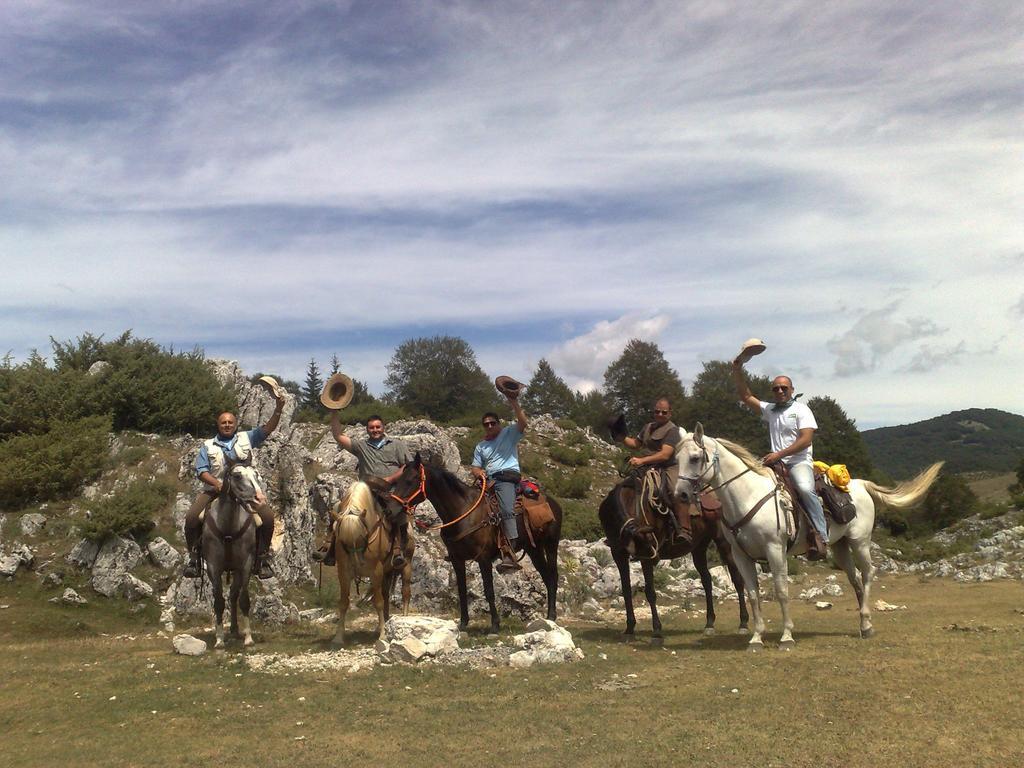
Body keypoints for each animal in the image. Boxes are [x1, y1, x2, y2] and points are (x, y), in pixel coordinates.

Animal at [201, 462, 262, 651]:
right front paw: (219, 639)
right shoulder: (213, 566)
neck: (228, 526)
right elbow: (218, 602)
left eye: (256, 474)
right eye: (237, 476)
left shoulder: (246, 564)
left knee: (234, 595)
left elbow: (244, 599)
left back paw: (235, 629)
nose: (259, 499)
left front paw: (249, 638)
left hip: (237, 570)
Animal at [331, 483, 411, 647]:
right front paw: (338, 637)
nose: (358, 564)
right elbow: (343, 603)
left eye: (362, 537)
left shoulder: (376, 571)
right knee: (386, 594)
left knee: (405, 593)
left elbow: (378, 602)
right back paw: (384, 624)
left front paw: (383, 636)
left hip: (405, 566)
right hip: (388, 572)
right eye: (343, 541)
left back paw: (403, 620)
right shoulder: (343, 572)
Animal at [389, 454, 565, 634]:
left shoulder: (484, 558)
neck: (462, 511)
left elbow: (489, 591)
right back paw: (548, 617)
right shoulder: (457, 560)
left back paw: (551, 616)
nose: (391, 509)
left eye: (411, 480)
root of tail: (552, 502)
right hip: (533, 549)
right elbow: (462, 590)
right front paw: (463, 623)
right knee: (546, 576)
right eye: (398, 479)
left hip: (551, 544)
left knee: (553, 575)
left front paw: (495, 624)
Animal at [598, 475, 749, 643]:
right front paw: (629, 629)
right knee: (707, 581)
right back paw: (709, 624)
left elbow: (650, 592)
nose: (656, 557)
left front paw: (657, 632)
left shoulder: (645, 558)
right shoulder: (619, 554)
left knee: (737, 580)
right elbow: (625, 590)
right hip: (698, 547)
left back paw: (743, 623)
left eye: (649, 542)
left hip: (724, 543)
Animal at [675, 428, 937, 651]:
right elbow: (753, 595)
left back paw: (867, 622)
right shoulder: (741, 556)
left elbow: (781, 591)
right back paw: (864, 625)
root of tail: (861, 484)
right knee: (854, 579)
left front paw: (786, 637)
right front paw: (756, 638)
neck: (748, 496)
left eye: (696, 458)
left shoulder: (775, 550)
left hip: (860, 542)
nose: (681, 494)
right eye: (676, 458)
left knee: (867, 573)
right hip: (840, 547)